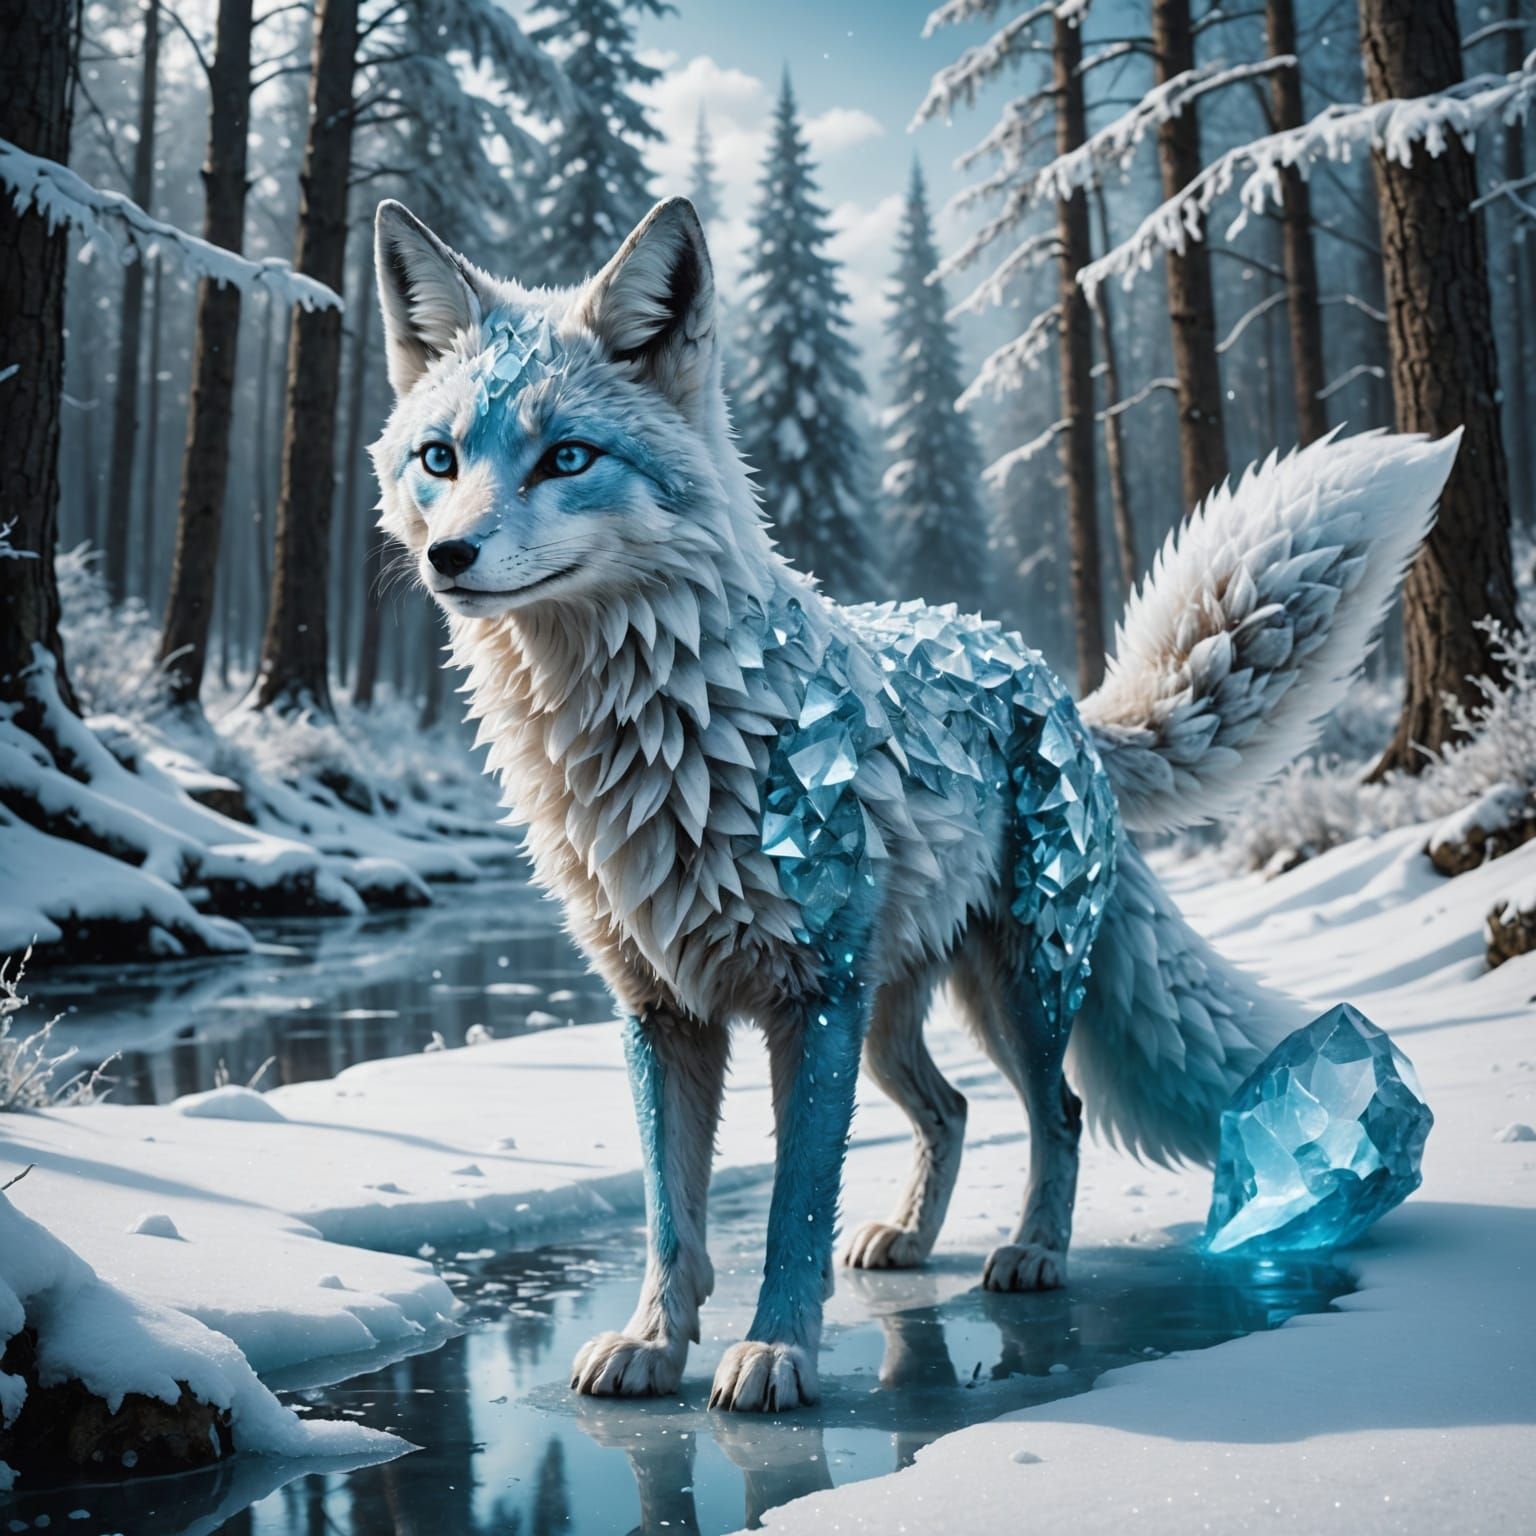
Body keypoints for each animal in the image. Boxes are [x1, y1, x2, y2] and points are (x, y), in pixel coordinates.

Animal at [369, 193, 1459, 1414]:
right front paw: (653, 1342)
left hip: (1016, 989)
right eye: (439, 458)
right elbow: (669, 1216)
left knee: (1058, 1112)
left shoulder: (814, 1001)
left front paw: (774, 1355)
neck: (663, 738)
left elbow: (792, 1210)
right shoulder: (661, 1011)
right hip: (897, 1023)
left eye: (566, 457)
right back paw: (907, 1239)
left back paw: (1032, 1253)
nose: (449, 554)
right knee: (953, 1110)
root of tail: (1049, 682)